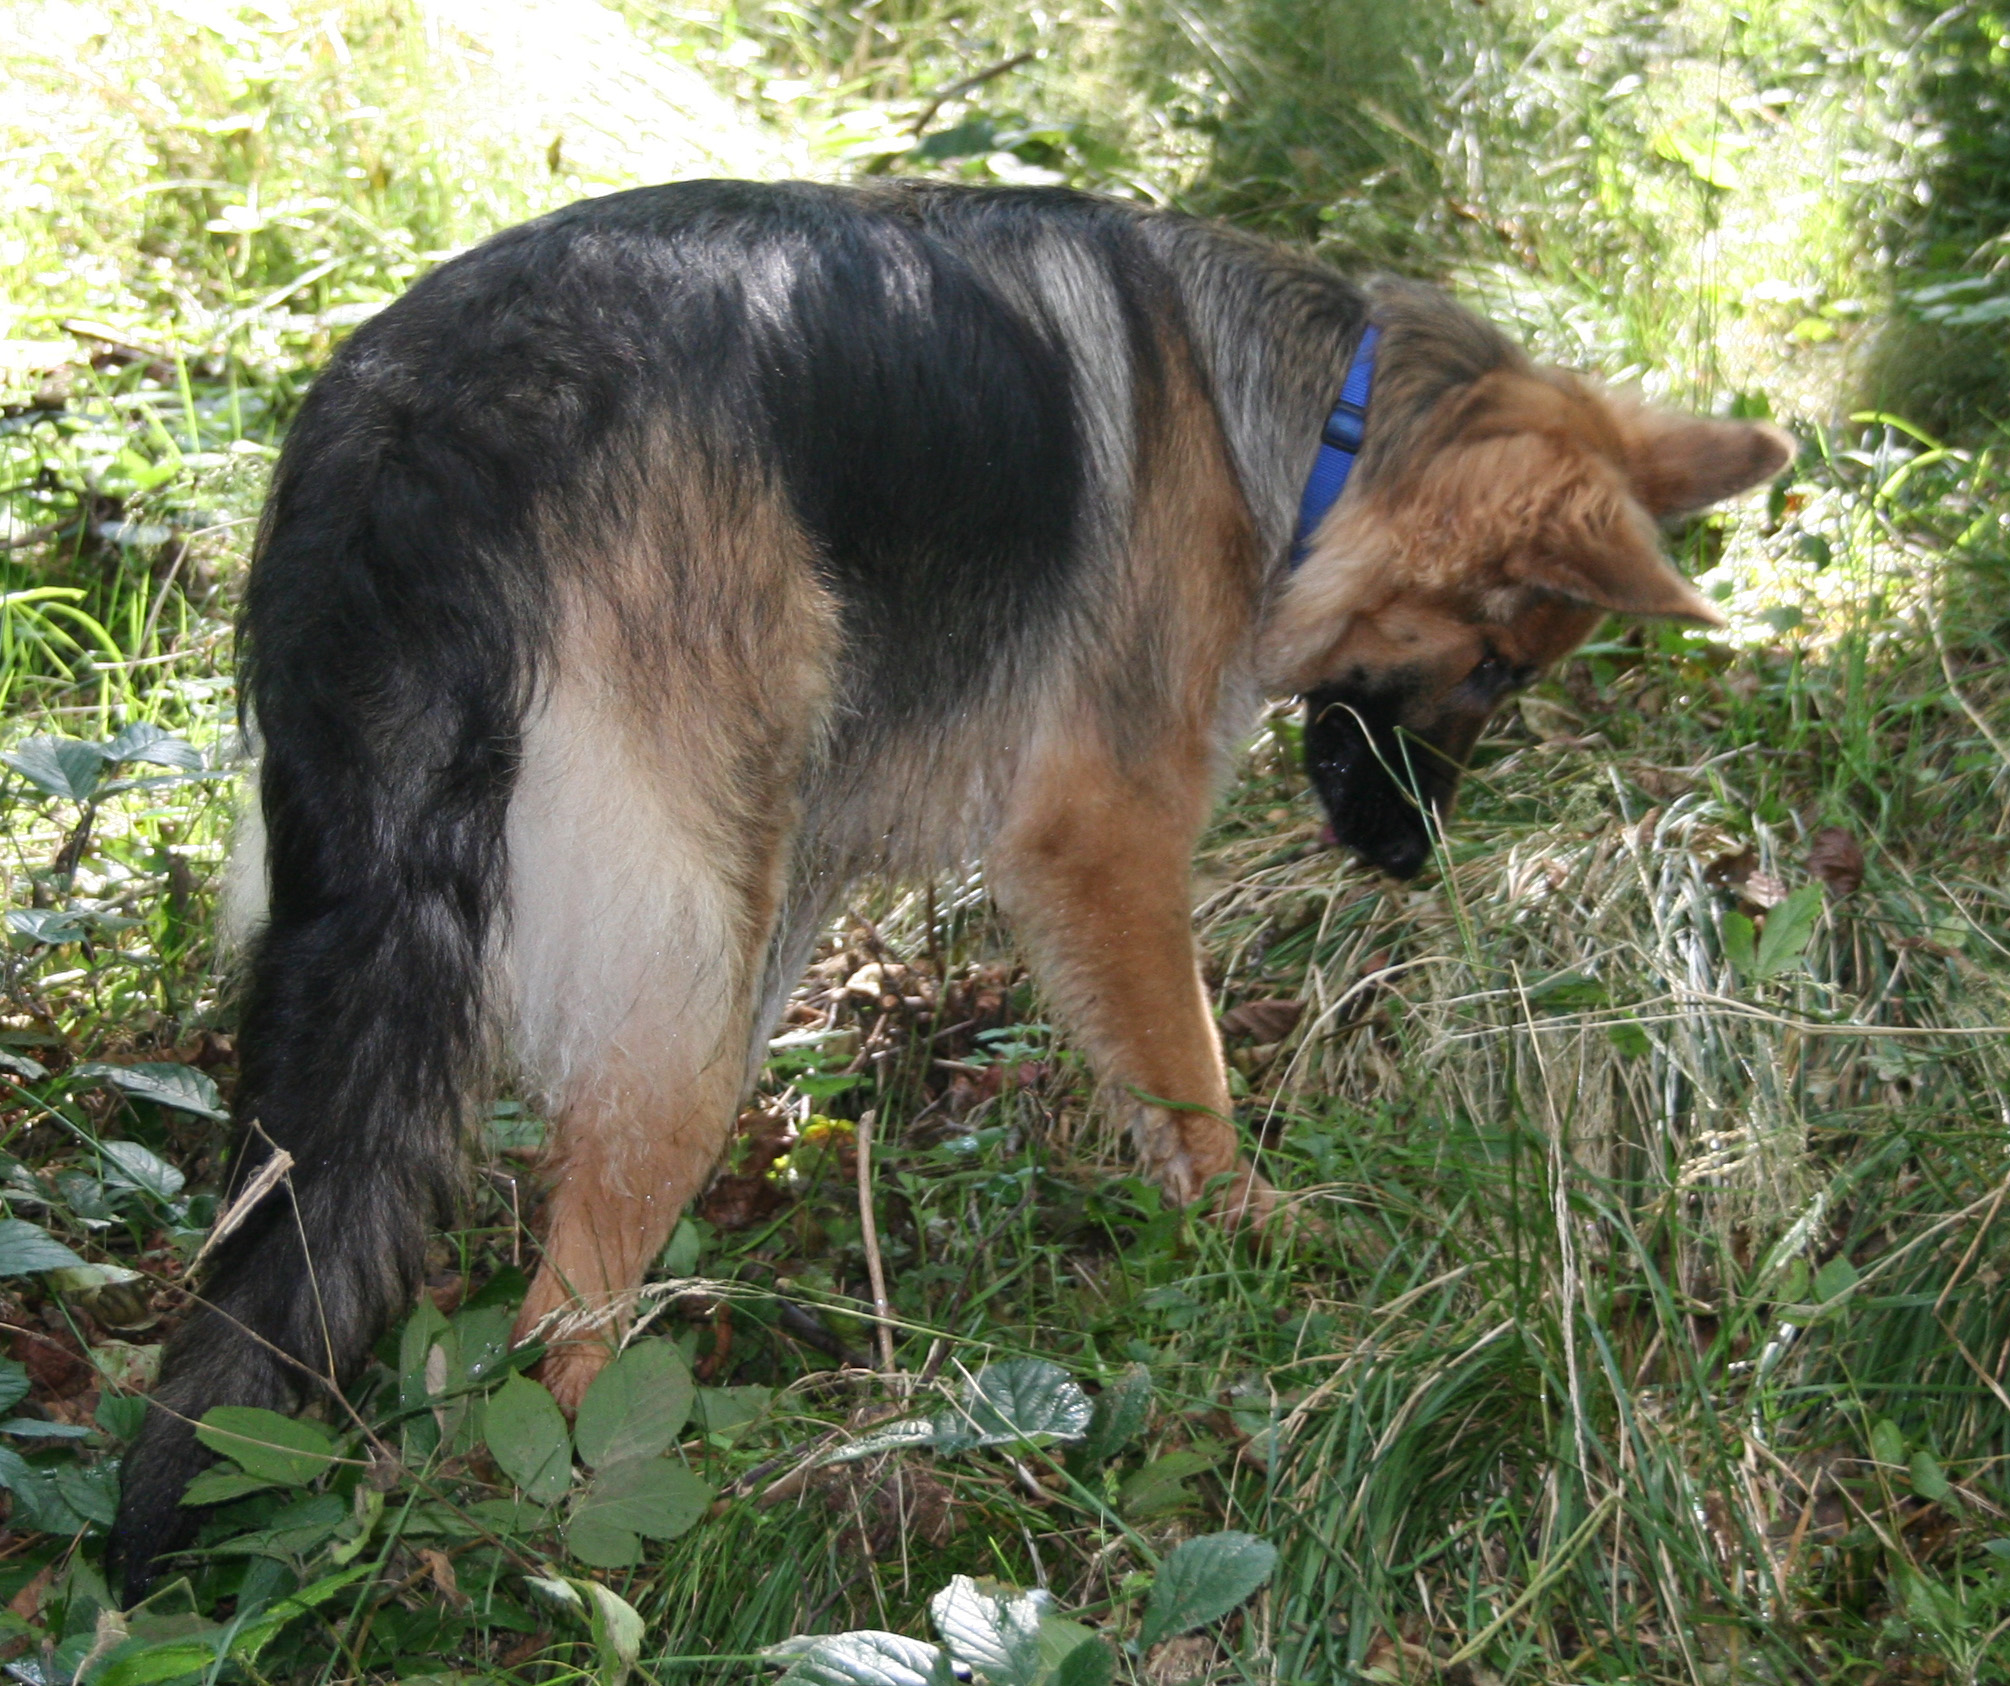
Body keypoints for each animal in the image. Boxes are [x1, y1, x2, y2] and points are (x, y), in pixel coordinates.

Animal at [106, 180, 1792, 1599]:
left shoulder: (804, 862)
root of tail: (426, 438)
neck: (1320, 419)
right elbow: (1187, 1077)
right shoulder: (1099, 842)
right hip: (678, 978)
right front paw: (1258, 1236)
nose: (1408, 861)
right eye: (1495, 663)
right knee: (555, 1323)